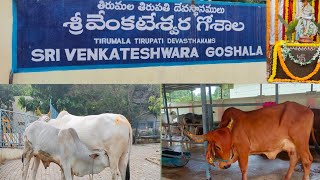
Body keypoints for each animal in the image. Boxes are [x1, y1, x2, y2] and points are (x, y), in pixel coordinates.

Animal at [185, 102, 316, 179]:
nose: (226, 165)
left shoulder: (243, 151)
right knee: (294, 159)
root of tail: (309, 110)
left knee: (307, 161)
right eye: (217, 146)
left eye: (231, 144)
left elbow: (243, 169)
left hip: (301, 143)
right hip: (291, 146)